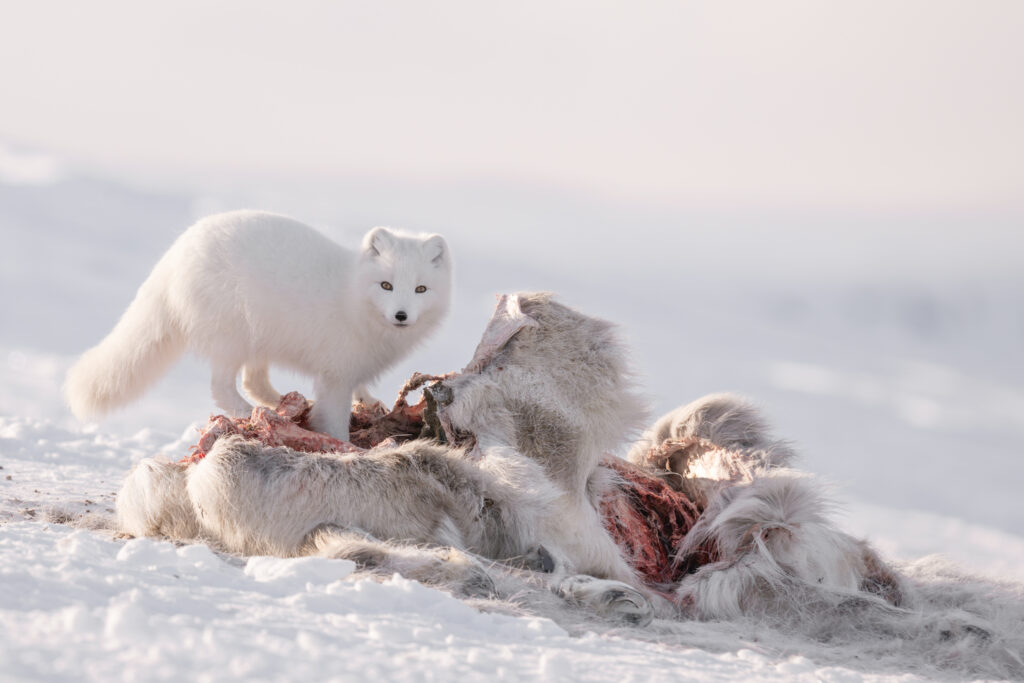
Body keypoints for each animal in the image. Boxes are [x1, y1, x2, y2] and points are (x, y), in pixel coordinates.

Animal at [64, 210, 451, 441]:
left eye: (420, 289)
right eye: (386, 285)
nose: (401, 315)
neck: (352, 296)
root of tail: (175, 255)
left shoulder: (348, 368)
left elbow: (360, 392)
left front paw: (370, 401)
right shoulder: (335, 376)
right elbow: (334, 420)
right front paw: (341, 445)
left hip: (259, 339)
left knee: (254, 382)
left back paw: (283, 405)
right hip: (231, 336)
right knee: (222, 388)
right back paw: (254, 414)